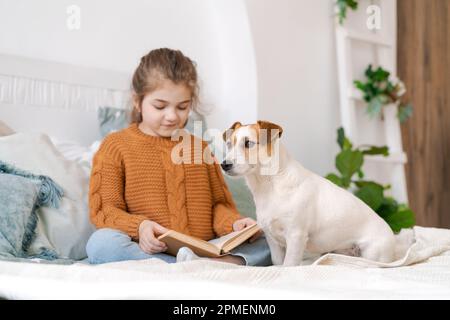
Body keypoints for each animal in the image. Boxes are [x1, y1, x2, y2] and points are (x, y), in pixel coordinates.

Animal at [220, 120, 396, 264]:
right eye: (229, 144)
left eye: (248, 143)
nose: (224, 164)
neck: (270, 186)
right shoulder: (272, 240)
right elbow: (277, 264)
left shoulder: (295, 236)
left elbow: (288, 265)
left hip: (372, 254)